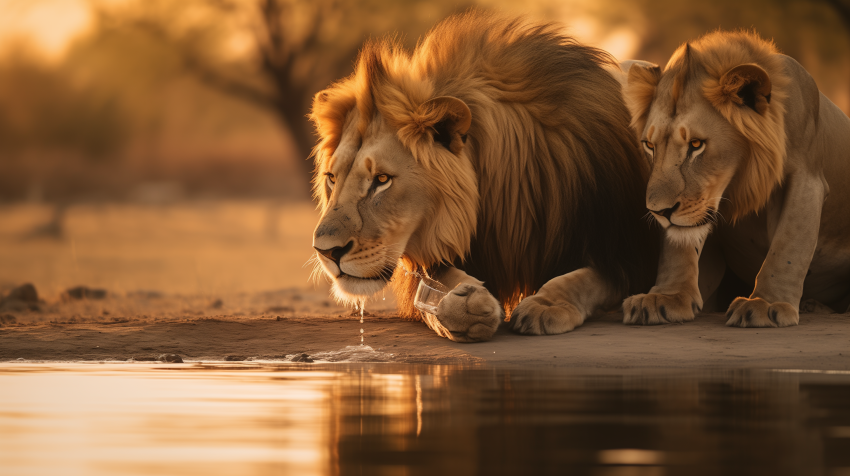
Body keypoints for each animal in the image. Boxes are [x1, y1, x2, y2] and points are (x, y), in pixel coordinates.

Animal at [309, 11, 658, 342]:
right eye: (332, 178)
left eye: (382, 180)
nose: (326, 252)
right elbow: (439, 283)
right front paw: (463, 306)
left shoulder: (626, 254)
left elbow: (587, 279)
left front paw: (545, 305)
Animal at [622, 30, 850, 328]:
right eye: (650, 145)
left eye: (696, 144)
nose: (660, 212)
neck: (740, 182)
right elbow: (678, 247)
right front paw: (666, 298)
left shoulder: (806, 178)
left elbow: (788, 246)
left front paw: (766, 304)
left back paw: (815, 306)